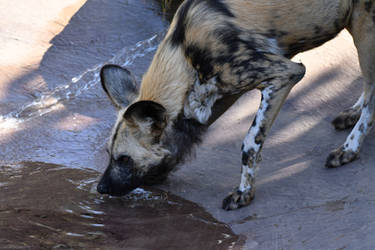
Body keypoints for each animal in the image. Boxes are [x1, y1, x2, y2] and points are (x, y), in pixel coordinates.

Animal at [97, 0, 375, 211]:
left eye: (124, 159)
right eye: (109, 155)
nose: (100, 188)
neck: (186, 53)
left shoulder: (285, 73)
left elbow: (250, 142)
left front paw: (244, 193)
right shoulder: (221, 93)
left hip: (364, 28)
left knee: (372, 95)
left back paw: (349, 149)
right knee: (368, 86)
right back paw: (352, 114)